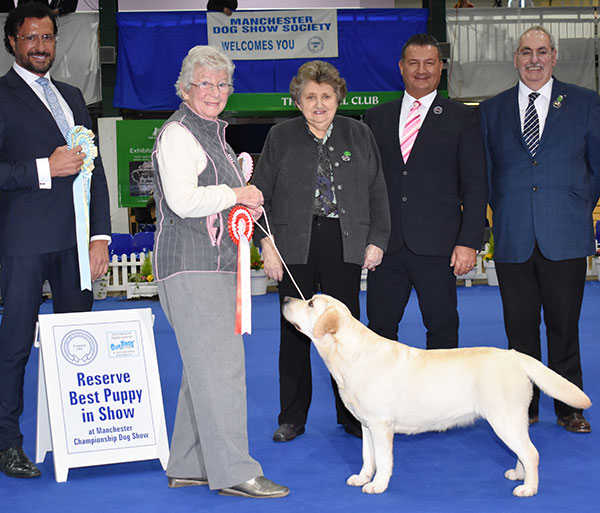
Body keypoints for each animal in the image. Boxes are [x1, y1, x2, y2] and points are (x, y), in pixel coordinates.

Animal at [282, 296, 592, 496]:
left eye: (311, 304)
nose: (285, 297)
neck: (351, 354)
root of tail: (516, 356)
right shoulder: (366, 425)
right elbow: (367, 456)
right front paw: (362, 478)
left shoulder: (381, 426)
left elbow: (383, 459)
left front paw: (378, 485)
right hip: (512, 420)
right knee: (522, 452)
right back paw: (519, 474)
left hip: (504, 418)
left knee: (531, 452)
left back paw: (528, 488)